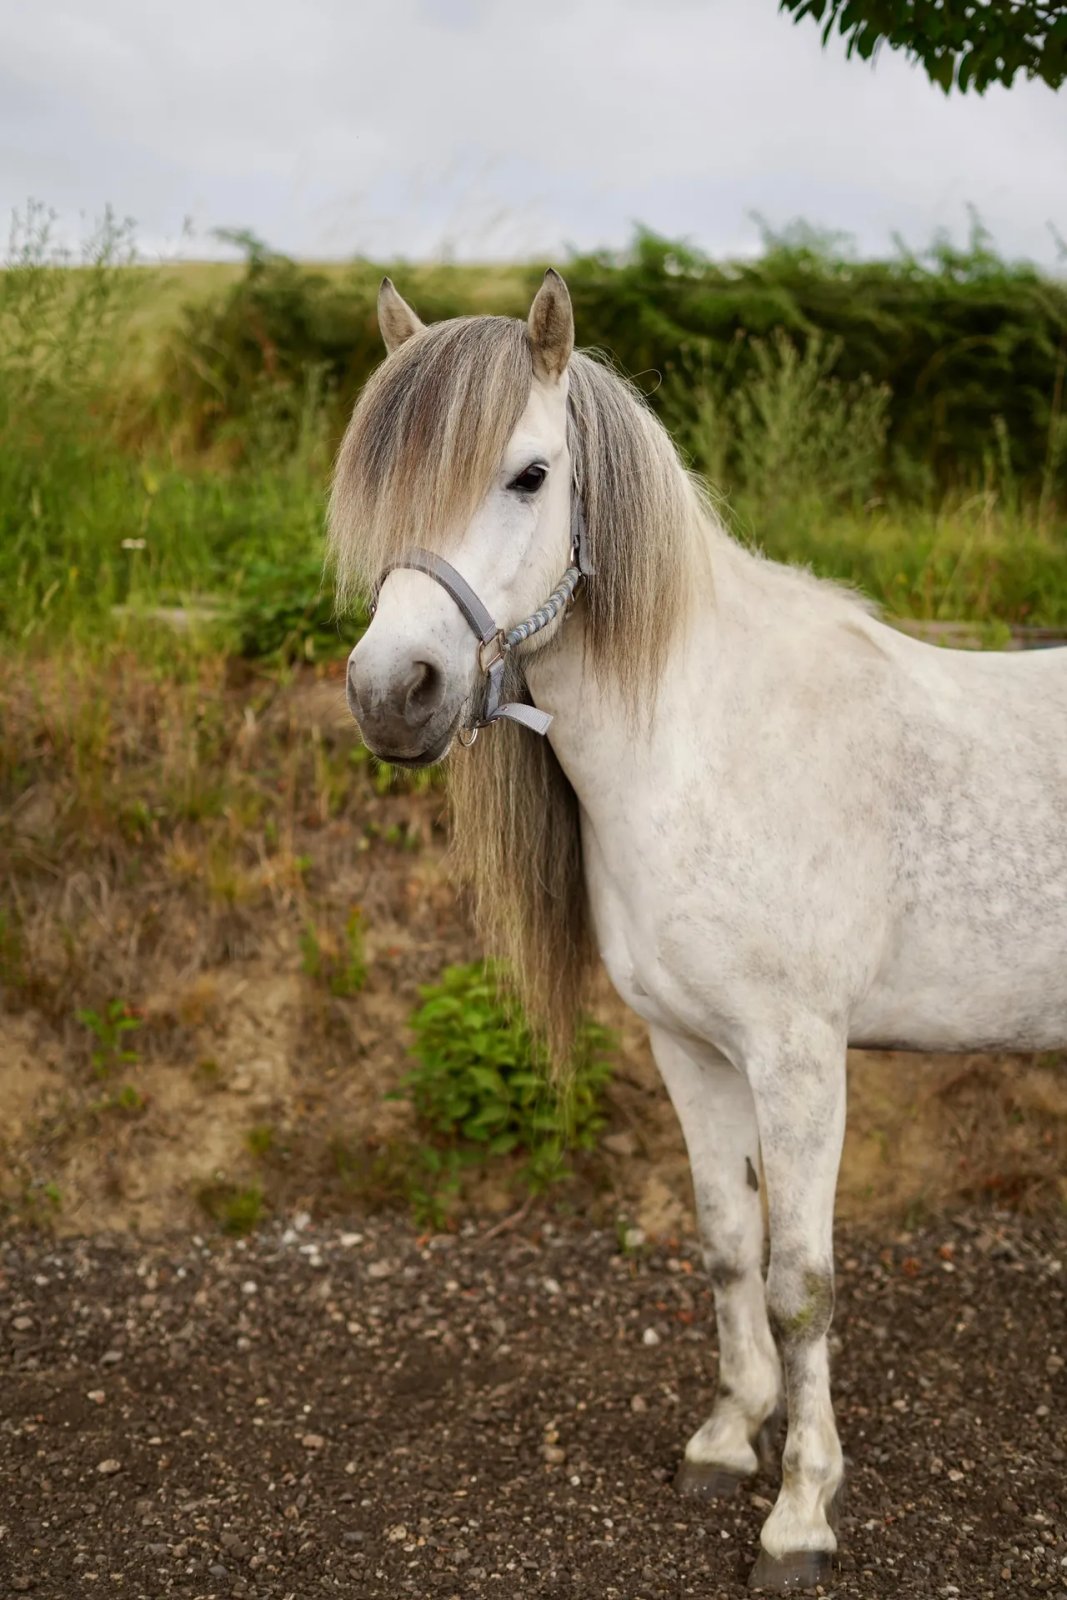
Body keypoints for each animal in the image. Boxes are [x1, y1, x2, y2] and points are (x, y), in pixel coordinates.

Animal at [328, 269, 1067, 1591]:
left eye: (528, 473)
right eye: (375, 486)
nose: (390, 694)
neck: (702, 742)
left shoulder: (798, 1059)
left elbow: (799, 1284)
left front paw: (800, 1512)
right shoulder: (690, 1049)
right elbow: (726, 1243)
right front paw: (727, 1441)